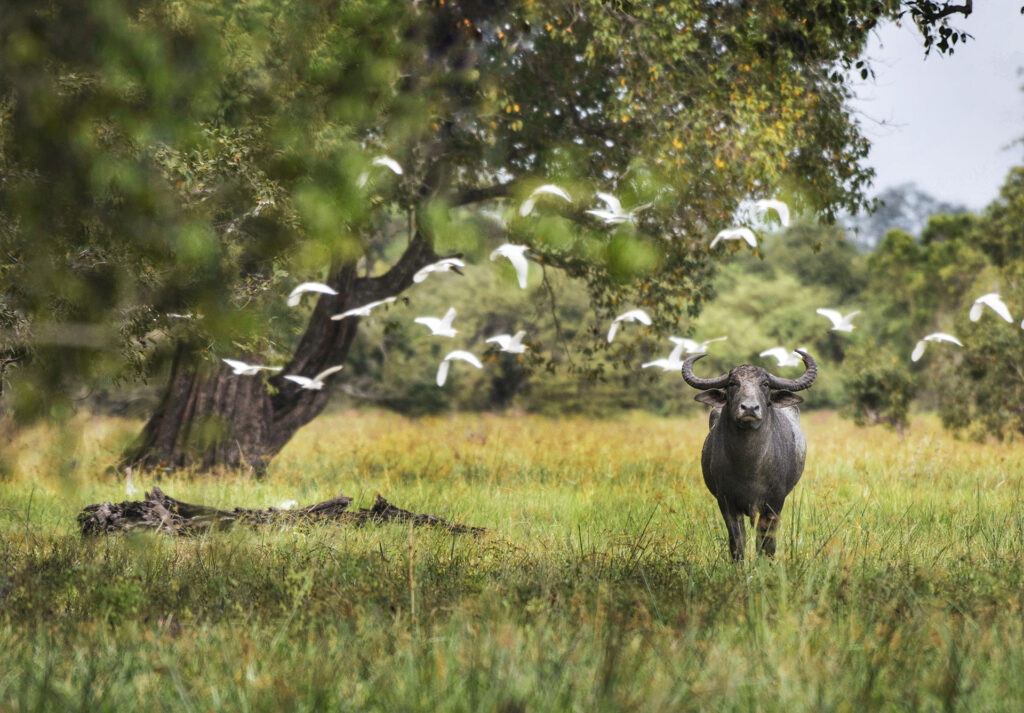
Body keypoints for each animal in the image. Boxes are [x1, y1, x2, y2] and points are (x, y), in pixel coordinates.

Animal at [684, 350, 819, 561]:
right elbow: (737, 542)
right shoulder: (726, 501)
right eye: (733, 383)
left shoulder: (774, 502)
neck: (749, 464)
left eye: (765, 384)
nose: (749, 408)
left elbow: (766, 544)